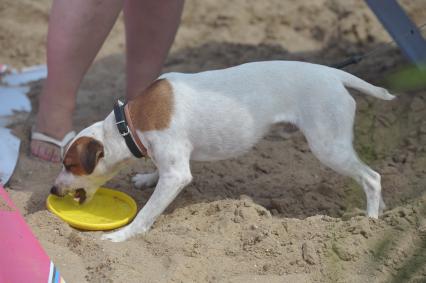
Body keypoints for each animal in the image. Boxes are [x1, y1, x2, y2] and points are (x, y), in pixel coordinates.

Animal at [50, 61, 396, 242]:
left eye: (69, 164)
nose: (53, 189)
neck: (130, 123)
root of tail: (332, 73)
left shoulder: (177, 175)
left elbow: (147, 213)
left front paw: (123, 235)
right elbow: (156, 173)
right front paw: (147, 177)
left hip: (328, 147)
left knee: (372, 178)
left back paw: (369, 223)